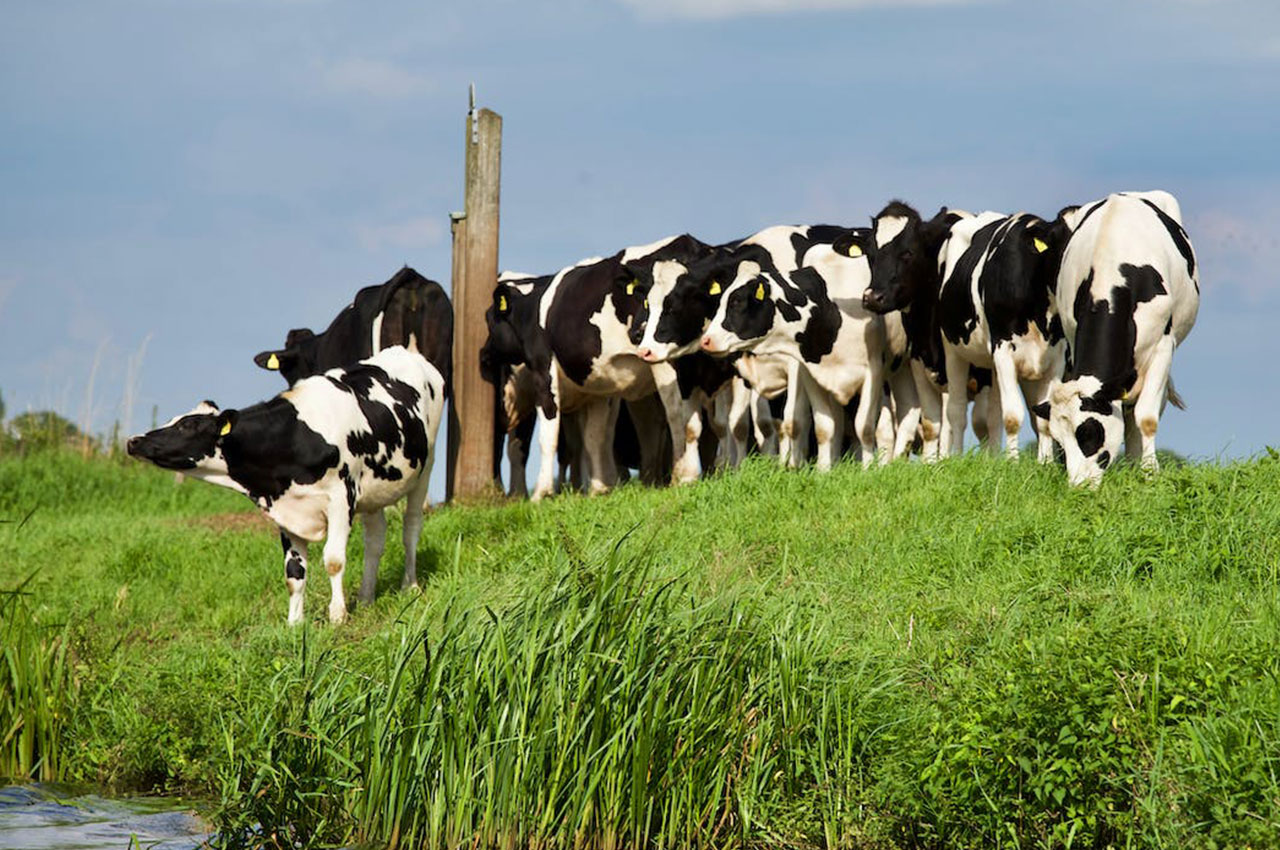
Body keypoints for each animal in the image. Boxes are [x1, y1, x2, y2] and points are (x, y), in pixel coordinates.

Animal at [126, 345, 445, 624]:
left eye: (187, 426)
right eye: (173, 419)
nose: (134, 441)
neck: (295, 437)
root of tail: (405, 352)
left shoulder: (341, 499)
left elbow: (333, 560)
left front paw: (337, 616)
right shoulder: (287, 508)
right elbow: (294, 573)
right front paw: (294, 623)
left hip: (424, 469)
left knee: (411, 528)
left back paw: (410, 586)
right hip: (373, 492)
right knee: (376, 539)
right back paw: (366, 598)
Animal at [1029, 189, 1198, 489]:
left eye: (1089, 433)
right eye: (1061, 441)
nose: (1078, 486)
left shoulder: (1163, 347)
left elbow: (1146, 418)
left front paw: (1149, 474)